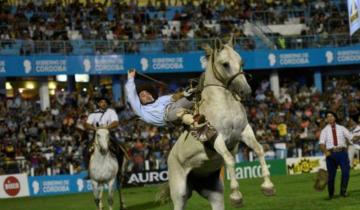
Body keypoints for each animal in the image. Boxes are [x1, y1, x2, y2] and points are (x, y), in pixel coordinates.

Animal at [166, 37, 276, 209]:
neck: (225, 105)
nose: (246, 91)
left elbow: (258, 150)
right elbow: (230, 160)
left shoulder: (244, 131)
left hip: (214, 194)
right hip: (179, 194)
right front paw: (236, 196)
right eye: (225, 64)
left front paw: (268, 186)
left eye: (242, 62)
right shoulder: (216, 138)